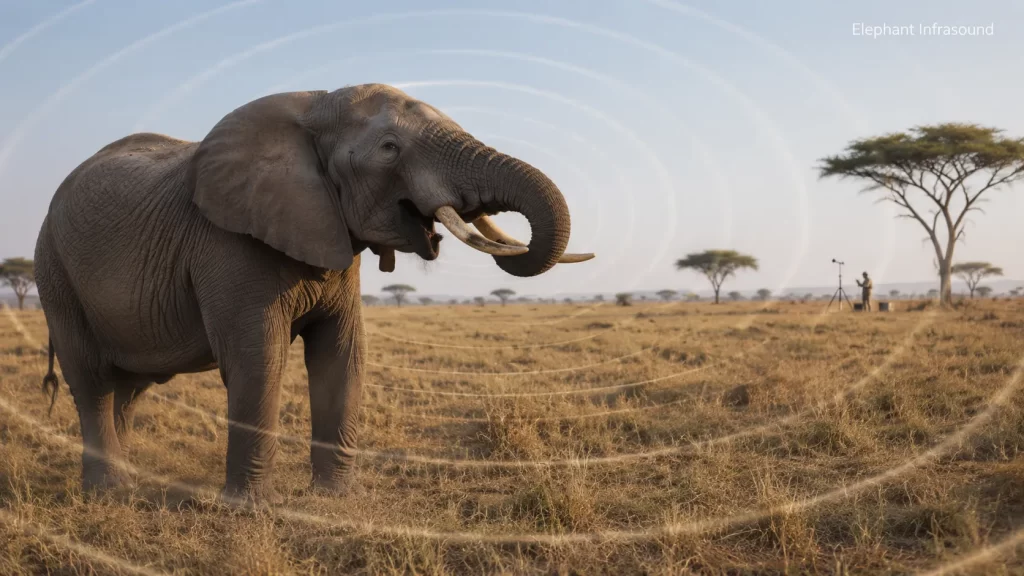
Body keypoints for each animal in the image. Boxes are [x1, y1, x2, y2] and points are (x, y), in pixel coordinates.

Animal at [34, 83, 593, 504]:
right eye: (389, 148)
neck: (312, 107)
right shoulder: (227, 244)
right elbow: (258, 359)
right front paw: (250, 509)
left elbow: (342, 356)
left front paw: (337, 498)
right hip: (54, 271)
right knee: (92, 380)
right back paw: (109, 492)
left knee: (128, 388)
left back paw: (127, 480)